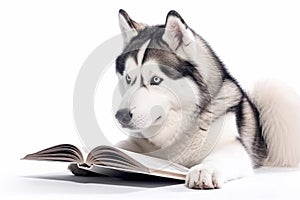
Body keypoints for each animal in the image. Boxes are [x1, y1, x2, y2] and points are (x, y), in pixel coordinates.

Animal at [71, 9, 300, 189]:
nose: (121, 116)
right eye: (128, 78)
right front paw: (91, 155)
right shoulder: (138, 143)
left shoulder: (234, 147)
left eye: (155, 80)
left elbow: (219, 157)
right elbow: (120, 146)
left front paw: (204, 170)